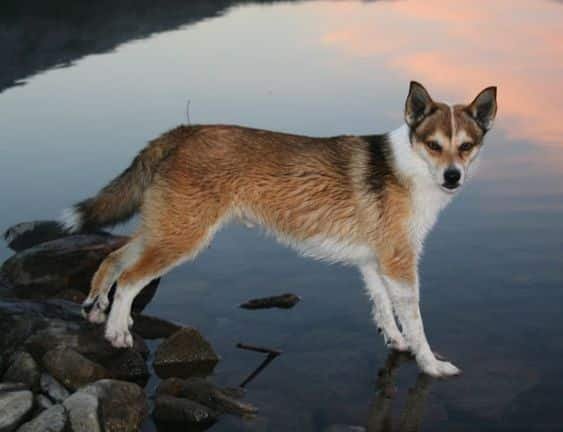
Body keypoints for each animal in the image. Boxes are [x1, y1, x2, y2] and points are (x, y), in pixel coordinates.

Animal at [61, 82, 498, 378]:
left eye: (467, 145)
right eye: (434, 144)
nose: (453, 177)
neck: (408, 168)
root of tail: (184, 131)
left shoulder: (375, 263)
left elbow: (384, 310)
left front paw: (396, 342)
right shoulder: (400, 263)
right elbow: (416, 321)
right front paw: (431, 364)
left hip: (165, 227)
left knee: (114, 258)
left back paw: (97, 309)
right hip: (183, 237)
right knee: (131, 279)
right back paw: (117, 332)